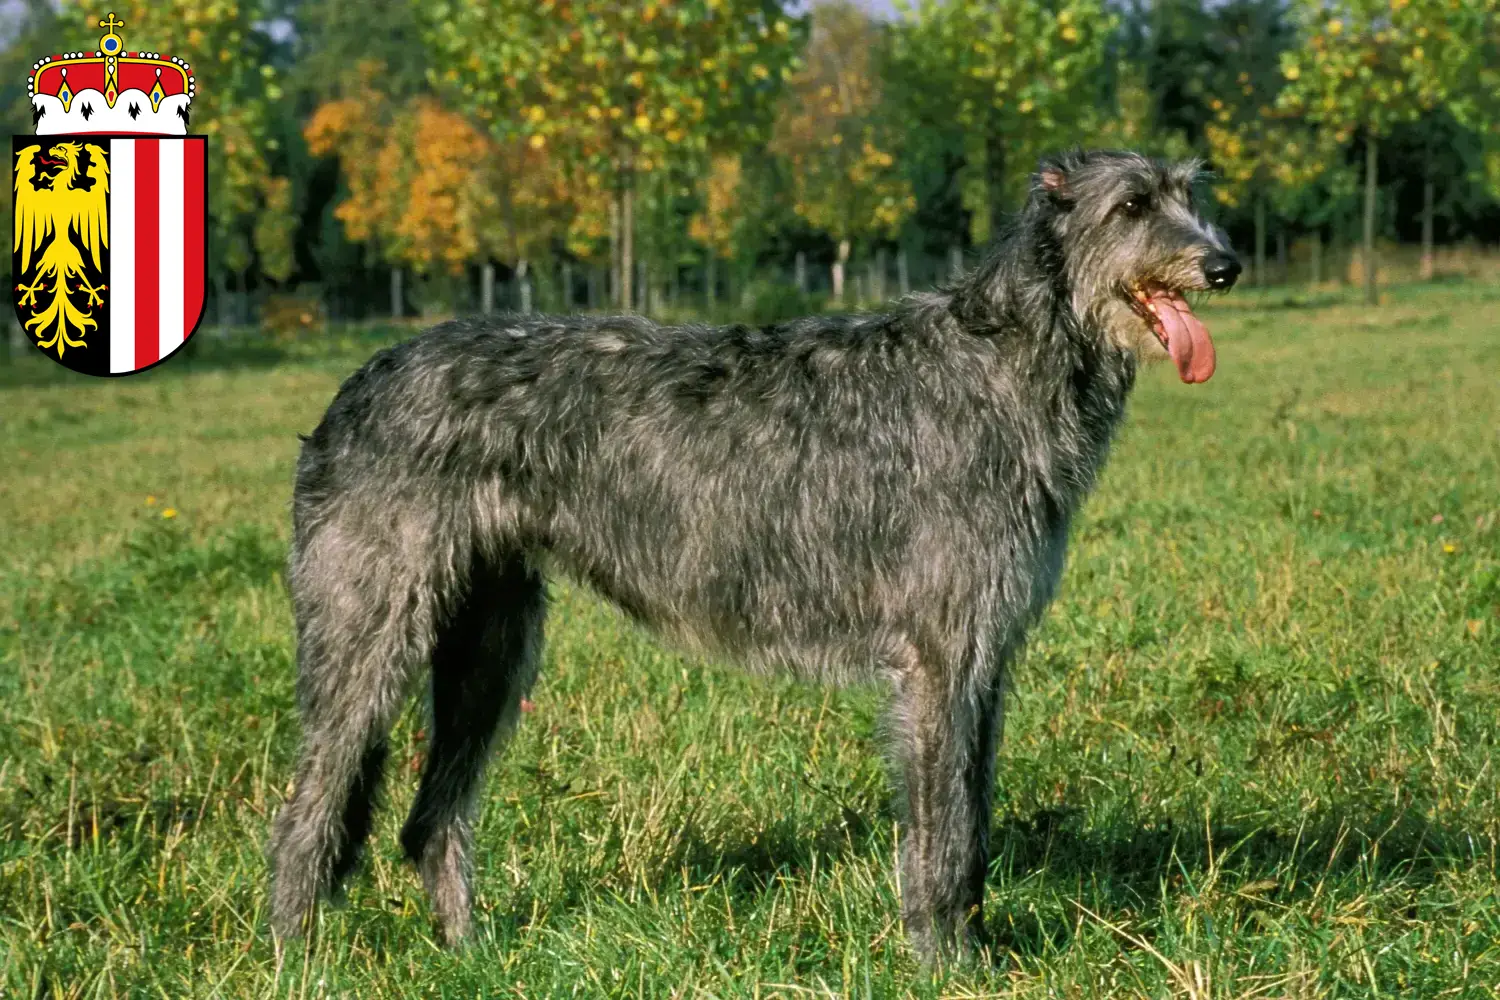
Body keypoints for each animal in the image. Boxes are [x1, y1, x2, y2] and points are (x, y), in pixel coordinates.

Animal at [267, 150, 1242, 959]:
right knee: (308, 811)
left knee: (429, 820)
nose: (1224, 265)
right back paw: (298, 959)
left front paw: (971, 948)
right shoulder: (938, 659)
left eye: (1190, 195)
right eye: (1132, 204)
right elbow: (942, 832)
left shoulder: (984, 659)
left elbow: (972, 820)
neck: (1002, 362)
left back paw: (470, 957)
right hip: (370, 630)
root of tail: (352, 390)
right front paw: (948, 962)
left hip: (490, 644)